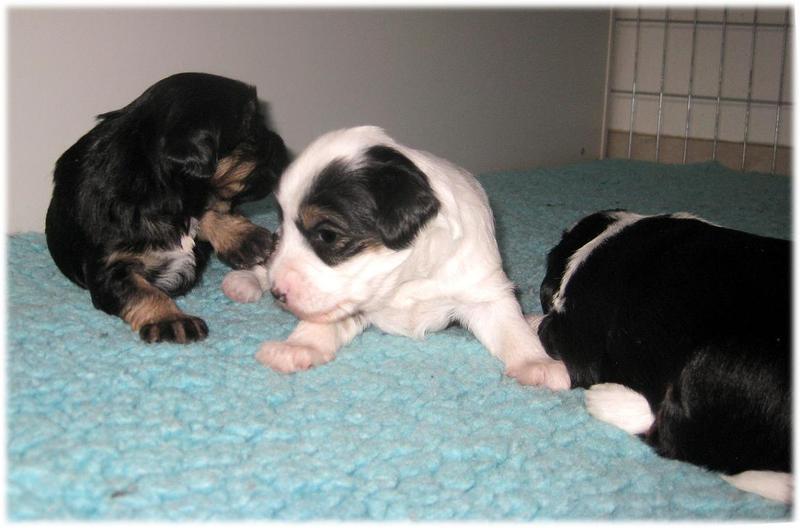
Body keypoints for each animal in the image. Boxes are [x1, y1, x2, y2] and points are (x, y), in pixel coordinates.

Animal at [45, 72, 288, 343]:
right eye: (251, 129)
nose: (283, 146)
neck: (151, 186)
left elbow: (207, 209)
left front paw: (246, 239)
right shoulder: (109, 267)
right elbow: (142, 291)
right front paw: (171, 320)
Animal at [222, 125, 563, 387]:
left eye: (327, 235)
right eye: (282, 224)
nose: (278, 293)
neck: (406, 278)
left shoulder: (483, 289)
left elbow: (510, 327)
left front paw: (538, 364)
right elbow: (320, 321)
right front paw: (295, 347)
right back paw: (244, 281)